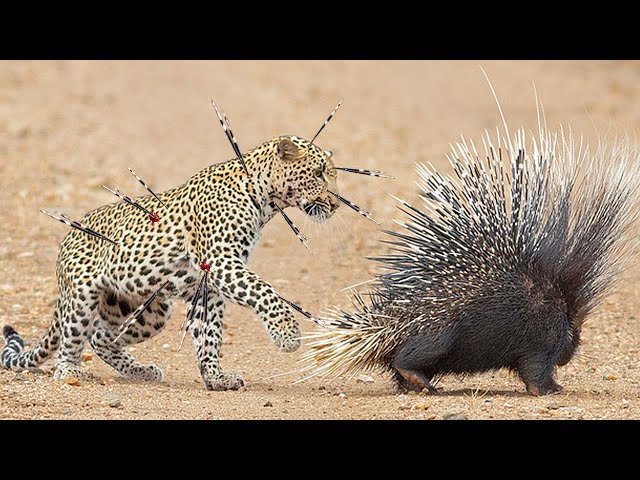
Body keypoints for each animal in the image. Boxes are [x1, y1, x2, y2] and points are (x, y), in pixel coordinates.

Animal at [1, 134, 340, 390]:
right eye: (319, 173)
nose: (336, 204)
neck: (264, 199)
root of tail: (67, 239)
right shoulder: (222, 261)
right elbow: (264, 290)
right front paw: (287, 334)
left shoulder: (210, 284)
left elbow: (210, 333)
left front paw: (216, 377)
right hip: (82, 295)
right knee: (75, 337)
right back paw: (70, 371)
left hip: (149, 311)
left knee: (100, 337)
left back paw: (141, 371)